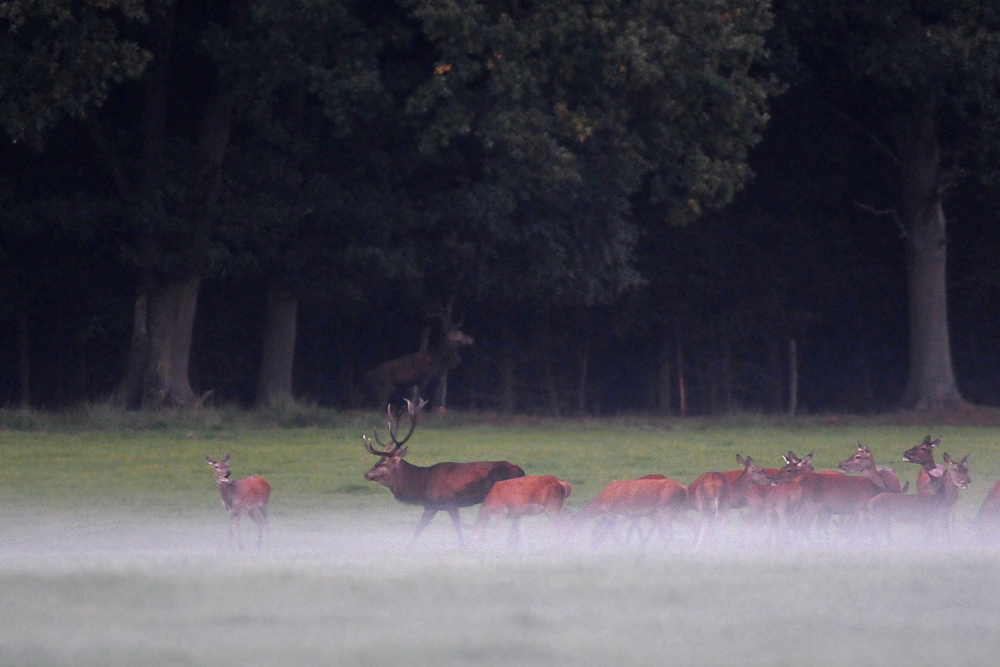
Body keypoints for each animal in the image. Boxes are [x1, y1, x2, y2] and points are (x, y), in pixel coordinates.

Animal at [366, 400, 528, 544]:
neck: (422, 485)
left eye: (383, 463)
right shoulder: (431, 506)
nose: (366, 474)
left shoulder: (449, 503)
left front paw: (464, 546)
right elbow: (418, 530)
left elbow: (456, 530)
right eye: (378, 462)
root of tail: (521, 471)